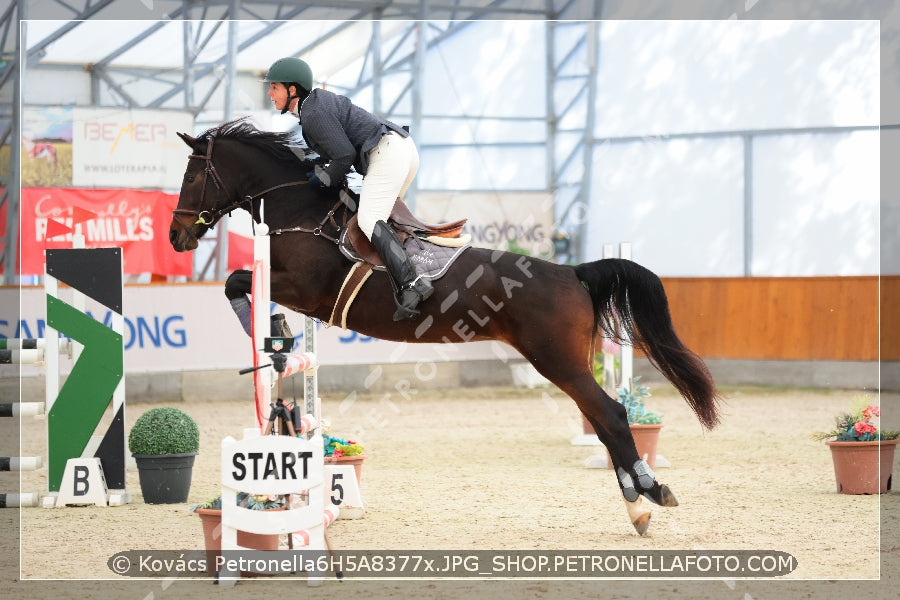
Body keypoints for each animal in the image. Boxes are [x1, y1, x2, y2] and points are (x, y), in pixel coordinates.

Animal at [167, 118, 716, 536]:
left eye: (192, 176)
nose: (176, 237)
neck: (299, 210)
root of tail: (571, 272)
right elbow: (238, 283)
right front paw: (273, 331)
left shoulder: (302, 286)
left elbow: (236, 281)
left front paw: (265, 327)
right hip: (570, 363)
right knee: (602, 421)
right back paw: (637, 506)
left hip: (558, 362)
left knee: (613, 416)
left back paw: (650, 494)